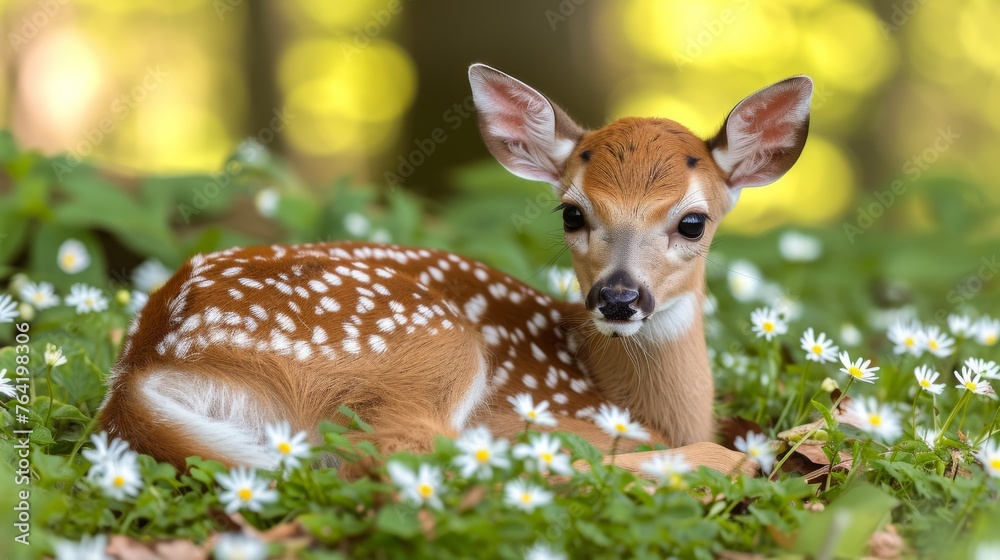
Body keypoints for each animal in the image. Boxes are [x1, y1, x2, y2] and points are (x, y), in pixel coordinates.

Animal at [99, 65, 812, 476]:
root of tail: (146, 361)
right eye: (572, 212)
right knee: (407, 455)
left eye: (693, 222)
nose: (617, 297)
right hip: (427, 342)